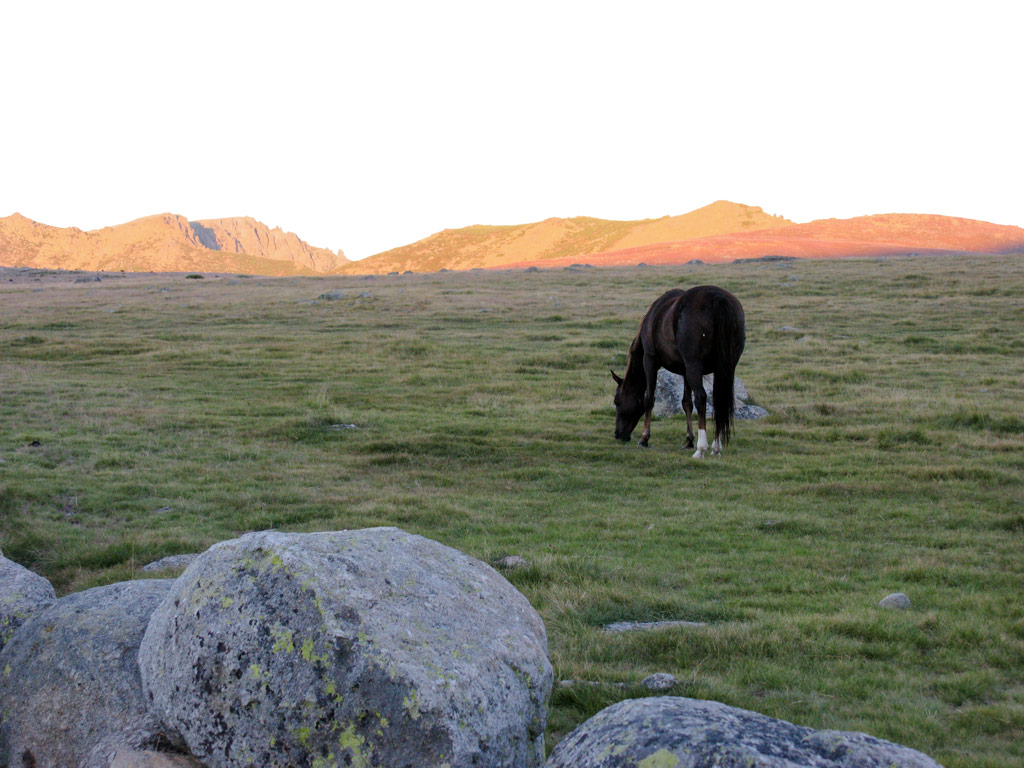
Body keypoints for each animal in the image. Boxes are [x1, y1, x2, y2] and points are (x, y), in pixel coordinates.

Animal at [606, 286, 745, 456]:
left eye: (617, 401)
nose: (618, 434)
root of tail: (718, 298)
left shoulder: (650, 360)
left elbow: (649, 399)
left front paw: (644, 438)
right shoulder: (685, 371)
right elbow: (686, 403)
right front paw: (689, 440)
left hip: (694, 366)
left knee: (701, 398)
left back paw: (701, 448)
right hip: (723, 368)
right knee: (719, 401)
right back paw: (716, 447)